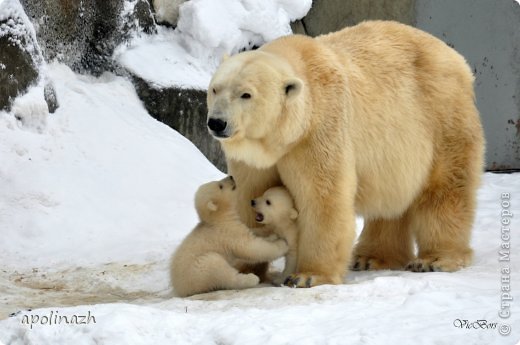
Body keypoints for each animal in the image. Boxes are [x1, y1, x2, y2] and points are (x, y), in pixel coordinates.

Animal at [206, 20, 484, 286]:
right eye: (215, 89)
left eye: (246, 94)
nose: (217, 122)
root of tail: (457, 59)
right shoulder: (255, 158)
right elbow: (248, 196)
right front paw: (243, 267)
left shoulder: (319, 131)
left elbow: (322, 198)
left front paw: (309, 275)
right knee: (391, 202)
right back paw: (371, 258)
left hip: (442, 116)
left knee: (446, 186)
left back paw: (436, 259)